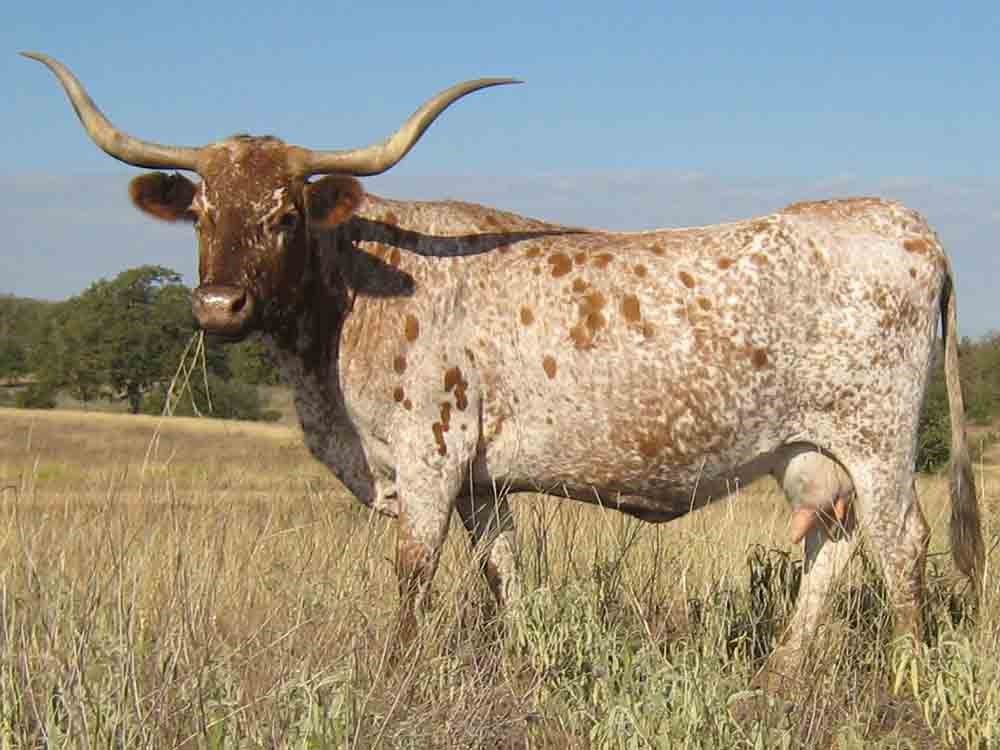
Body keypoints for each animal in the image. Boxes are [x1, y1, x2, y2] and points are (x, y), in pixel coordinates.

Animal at [25, 52, 983, 690]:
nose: (219, 305)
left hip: (879, 440)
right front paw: (525, 657)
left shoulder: (428, 455)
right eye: (202, 214)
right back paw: (781, 672)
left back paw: (909, 673)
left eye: (285, 214)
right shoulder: (482, 478)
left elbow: (413, 568)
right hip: (812, 453)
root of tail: (903, 223)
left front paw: (395, 671)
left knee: (902, 544)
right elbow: (503, 568)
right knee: (835, 544)